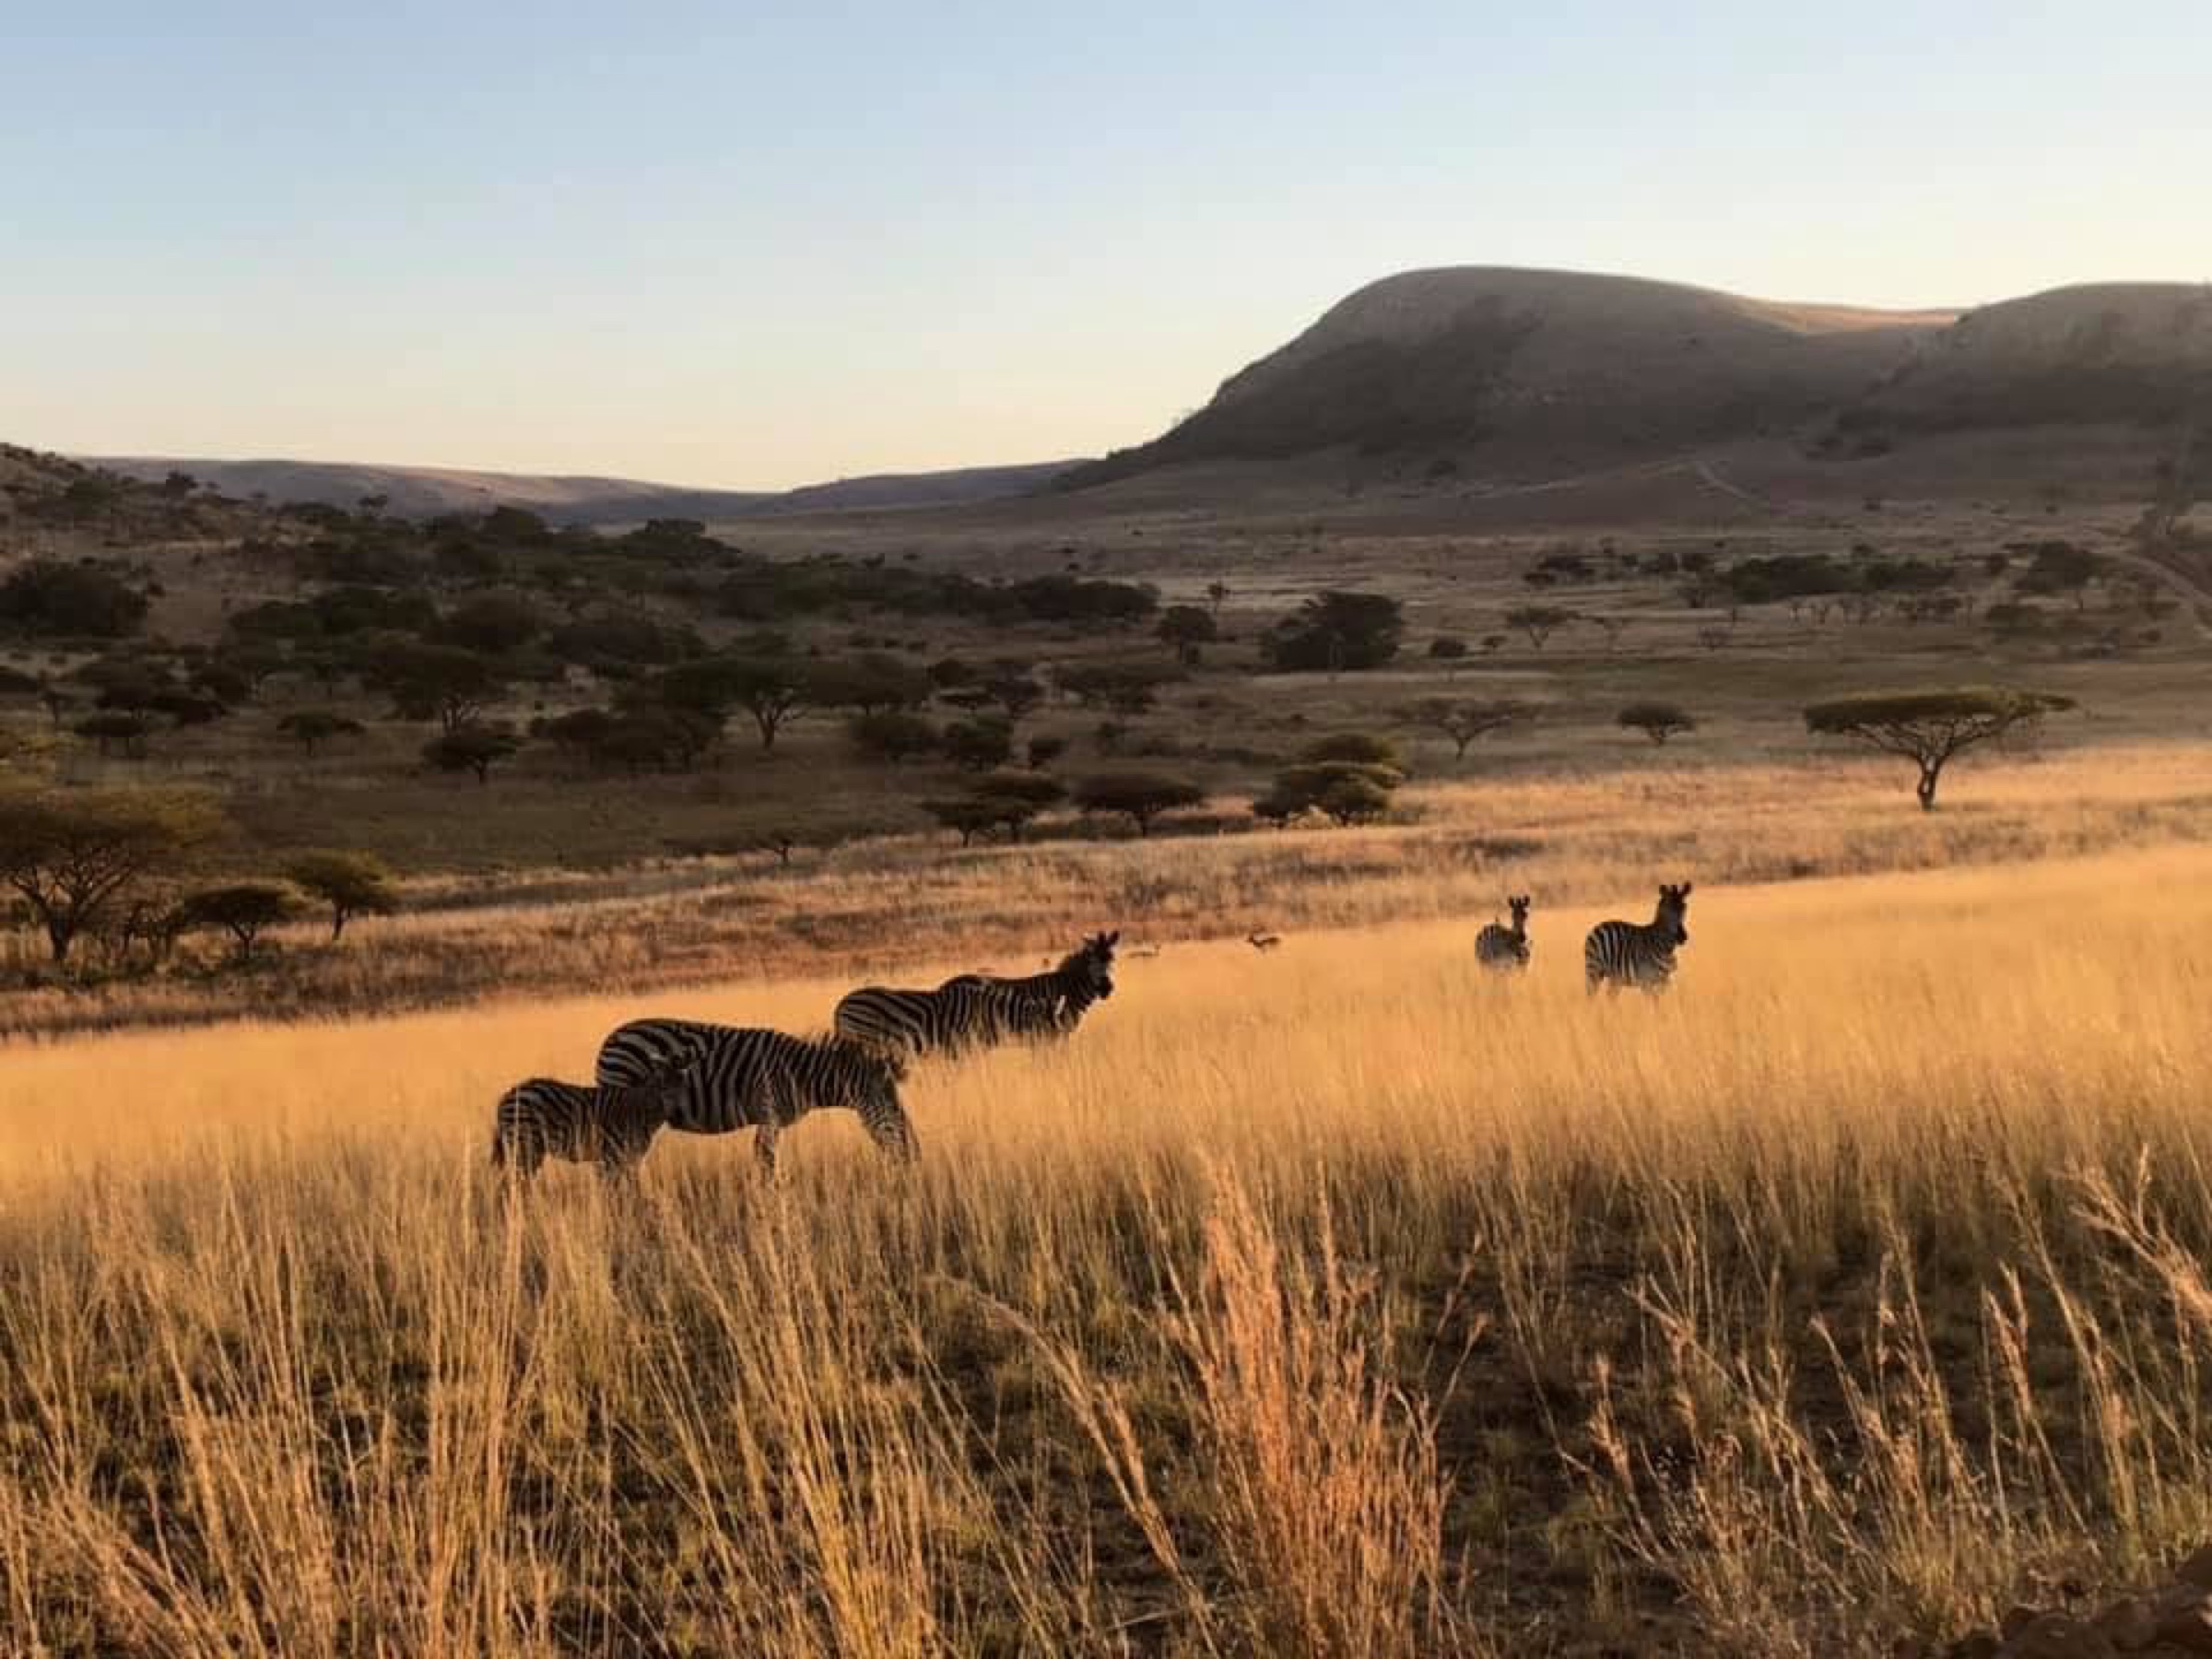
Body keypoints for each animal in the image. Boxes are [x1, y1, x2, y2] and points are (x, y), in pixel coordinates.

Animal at [490, 1074, 685, 1178]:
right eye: (661, 1089)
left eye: (680, 1088)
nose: (676, 1113)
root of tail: (507, 1095)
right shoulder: (612, 1157)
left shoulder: (627, 1159)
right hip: (526, 1145)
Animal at [591, 1024, 915, 1174]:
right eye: (889, 1102)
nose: (915, 1153)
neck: (801, 1074)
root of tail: (611, 1039)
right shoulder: (769, 1113)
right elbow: (766, 1162)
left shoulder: (769, 1120)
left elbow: (764, 1159)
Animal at [832, 930, 1119, 1059]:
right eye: (1092, 962)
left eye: (1112, 961)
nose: (1107, 989)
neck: (1065, 987)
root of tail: (840, 1006)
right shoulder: (1046, 1036)